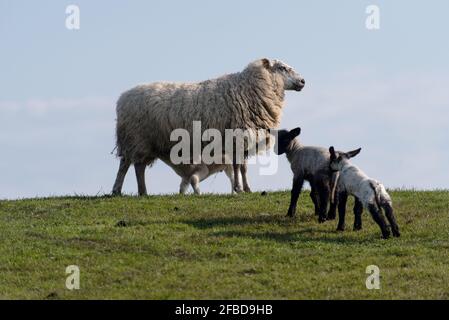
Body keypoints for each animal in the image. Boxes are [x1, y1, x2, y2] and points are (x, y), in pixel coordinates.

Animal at [112, 58, 304, 196]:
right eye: (282, 68)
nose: (303, 81)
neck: (251, 89)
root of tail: (122, 98)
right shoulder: (236, 137)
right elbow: (237, 167)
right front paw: (239, 188)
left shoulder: (241, 140)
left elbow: (242, 167)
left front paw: (246, 188)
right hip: (136, 138)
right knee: (132, 166)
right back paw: (131, 191)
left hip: (139, 141)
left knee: (131, 164)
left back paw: (128, 191)